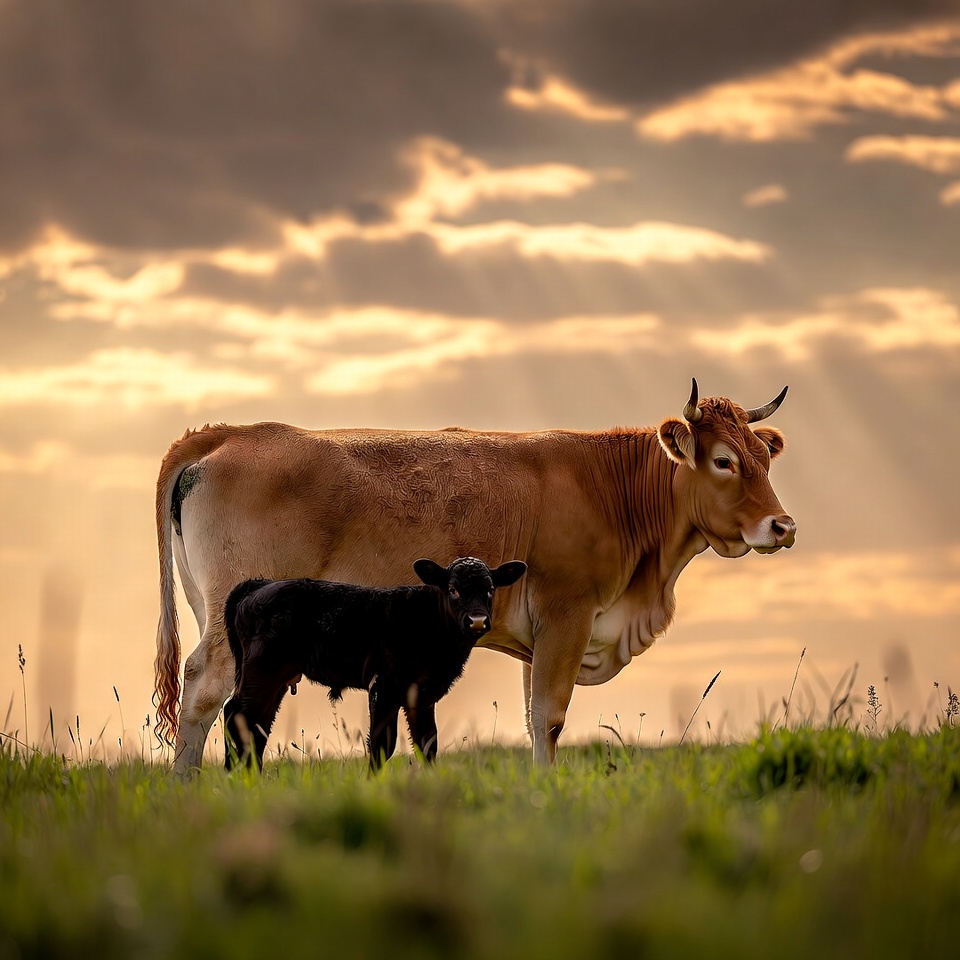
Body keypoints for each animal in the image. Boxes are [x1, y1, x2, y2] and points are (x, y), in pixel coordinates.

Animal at [223, 556, 527, 771]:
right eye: (453, 589)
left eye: (490, 589)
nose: (477, 620)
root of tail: (260, 584)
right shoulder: (384, 685)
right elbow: (383, 744)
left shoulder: (422, 694)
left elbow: (427, 742)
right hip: (262, 671)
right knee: (237, 714)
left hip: (275, 678)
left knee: (256, 725)